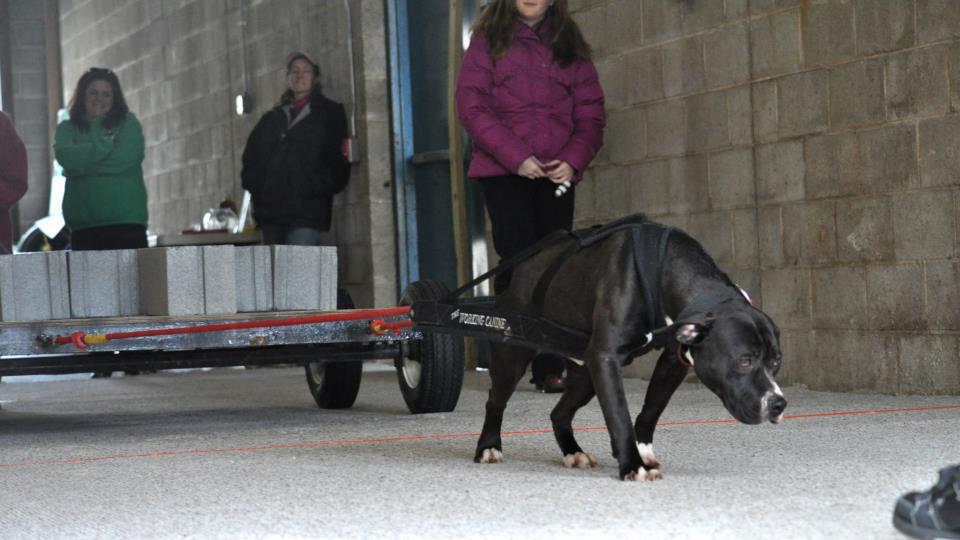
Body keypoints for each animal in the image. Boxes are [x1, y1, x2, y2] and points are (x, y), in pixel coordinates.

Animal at [476, 217, 784, 478]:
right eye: (744, 361)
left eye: (776, 362)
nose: (779, 404)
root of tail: (521, 271)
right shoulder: (606, 359)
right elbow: (619, 414)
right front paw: (632, 465)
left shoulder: (672, 361)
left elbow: (651, 409)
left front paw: (642, 450)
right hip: (513, 357)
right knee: (495, 400)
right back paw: (488, 446)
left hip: (586, 374)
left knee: (559, 412)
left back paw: (573, 452)